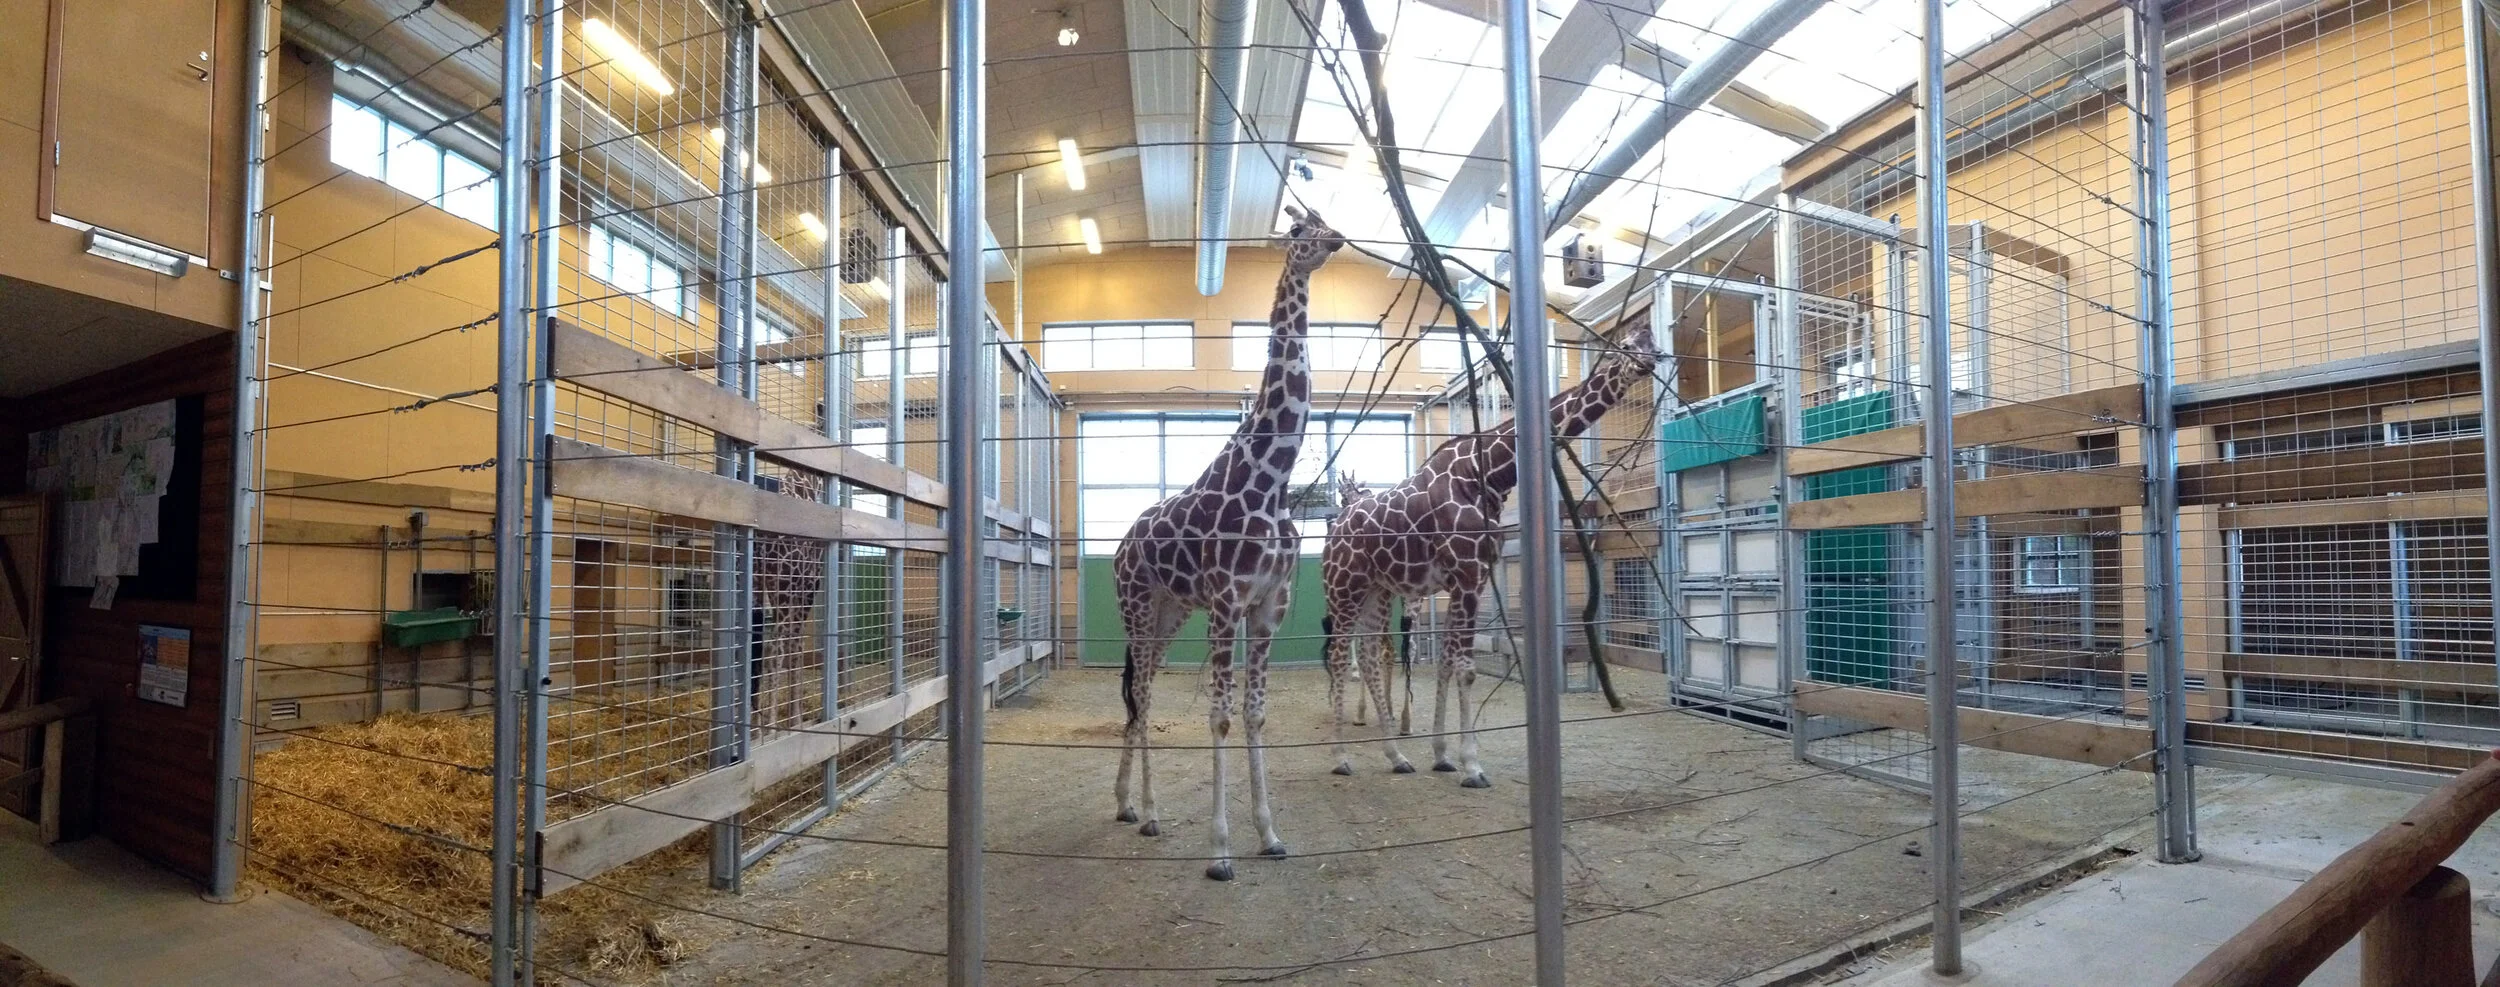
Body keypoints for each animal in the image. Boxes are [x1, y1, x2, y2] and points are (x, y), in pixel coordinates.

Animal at [1112, 205, 1345, 881]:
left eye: (1326, 220)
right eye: (1298, 230)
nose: (1334, 241)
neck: (1271, 480)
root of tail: (1121, 546)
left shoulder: (1267, 607)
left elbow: (1254, 712)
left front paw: (1269, 834)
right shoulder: (1224, 603)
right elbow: (1217, 717)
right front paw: (1219, 850)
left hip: (1169, 613)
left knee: (1141, 691)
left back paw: (1126, 804)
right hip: (1138, 605)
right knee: (1141, 694)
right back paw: (1150, 812)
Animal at [1319, 327, 1660, 783]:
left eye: (1652, 344)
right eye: (1624, 345)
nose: (1647, 363)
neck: (1490, 474)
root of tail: (1334, 530)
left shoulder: (1473, 577)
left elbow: (1447, 662)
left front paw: (1441, 754)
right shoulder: (1466, 575)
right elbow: (1466, 668)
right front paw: (1472, 766)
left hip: (1376, 590)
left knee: (1373, 656)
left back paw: (1396, 756)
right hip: (1344, 587)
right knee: (1341, 657)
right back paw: (1340, 758)